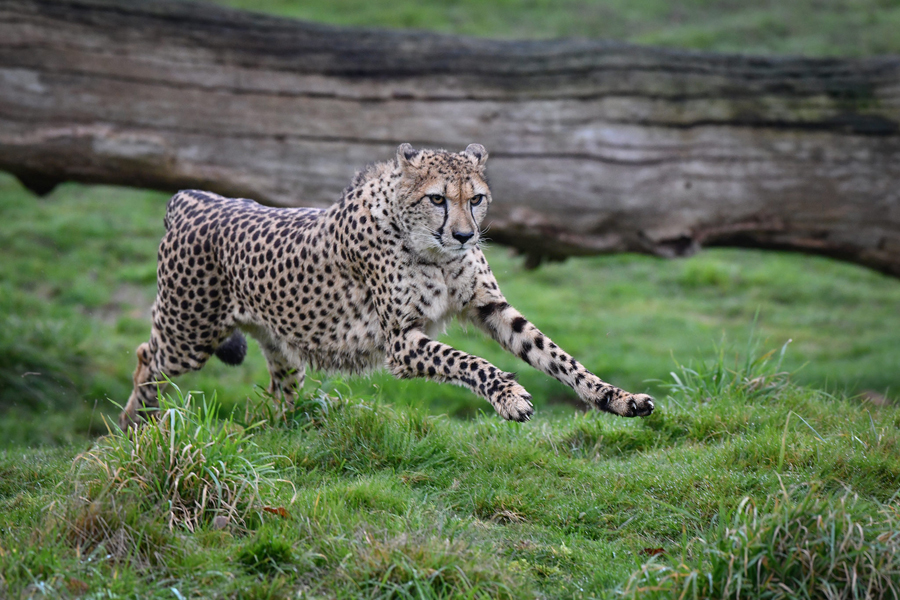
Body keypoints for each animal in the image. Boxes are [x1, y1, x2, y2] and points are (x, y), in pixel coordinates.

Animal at [119, 143, 654, 429]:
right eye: (437, 199)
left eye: (476, 199)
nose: (465, 235)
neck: (433, 250)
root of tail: (193, 195)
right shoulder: (402, 339)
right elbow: (470, 362)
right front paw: (508, 395)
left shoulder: (490, 306)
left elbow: (555, 355)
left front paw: (615, 397)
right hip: (188, 334)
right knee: (147, 360)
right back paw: (136, 427)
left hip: (279, 341)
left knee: (280, 387)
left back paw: (285, 432)